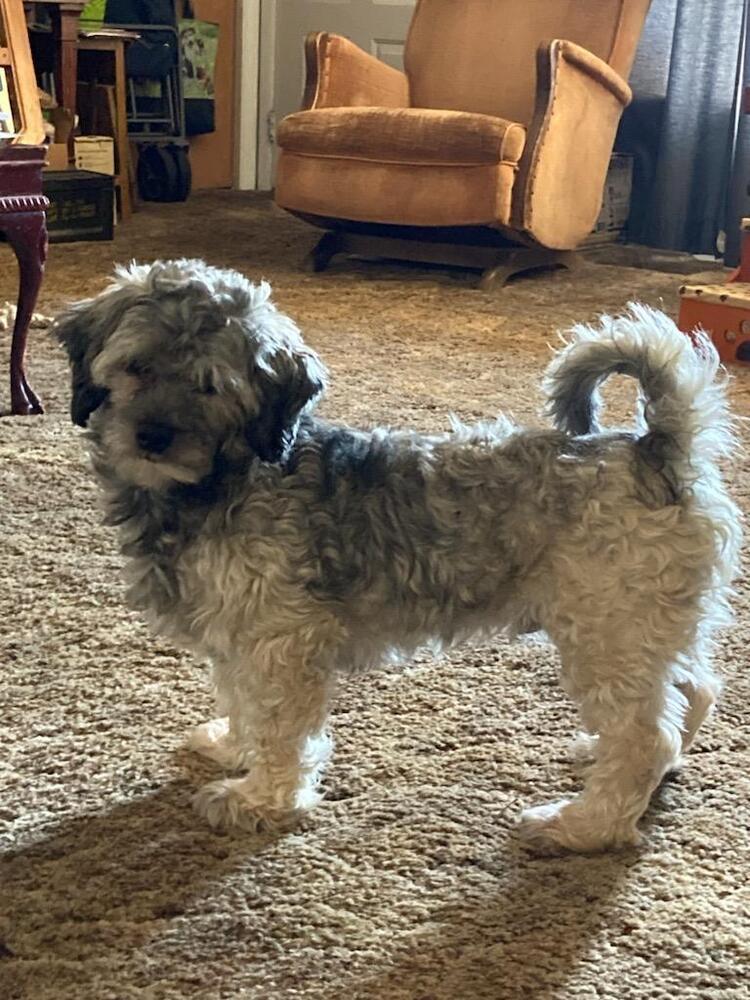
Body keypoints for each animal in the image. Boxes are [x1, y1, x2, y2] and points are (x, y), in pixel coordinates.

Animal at [55, 258, 744, 852]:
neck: (226, 477)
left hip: (605, 634)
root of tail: (657, 452)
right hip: (644, 628)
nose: (152, 436)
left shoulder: (280, 640)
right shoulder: (236, 634)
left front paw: (261, 800)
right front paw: (232, 748)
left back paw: (584, 824)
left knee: (646, 735)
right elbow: (241, 701)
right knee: (693, 691)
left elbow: (278, 728)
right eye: (136, 367)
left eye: (209, 386)